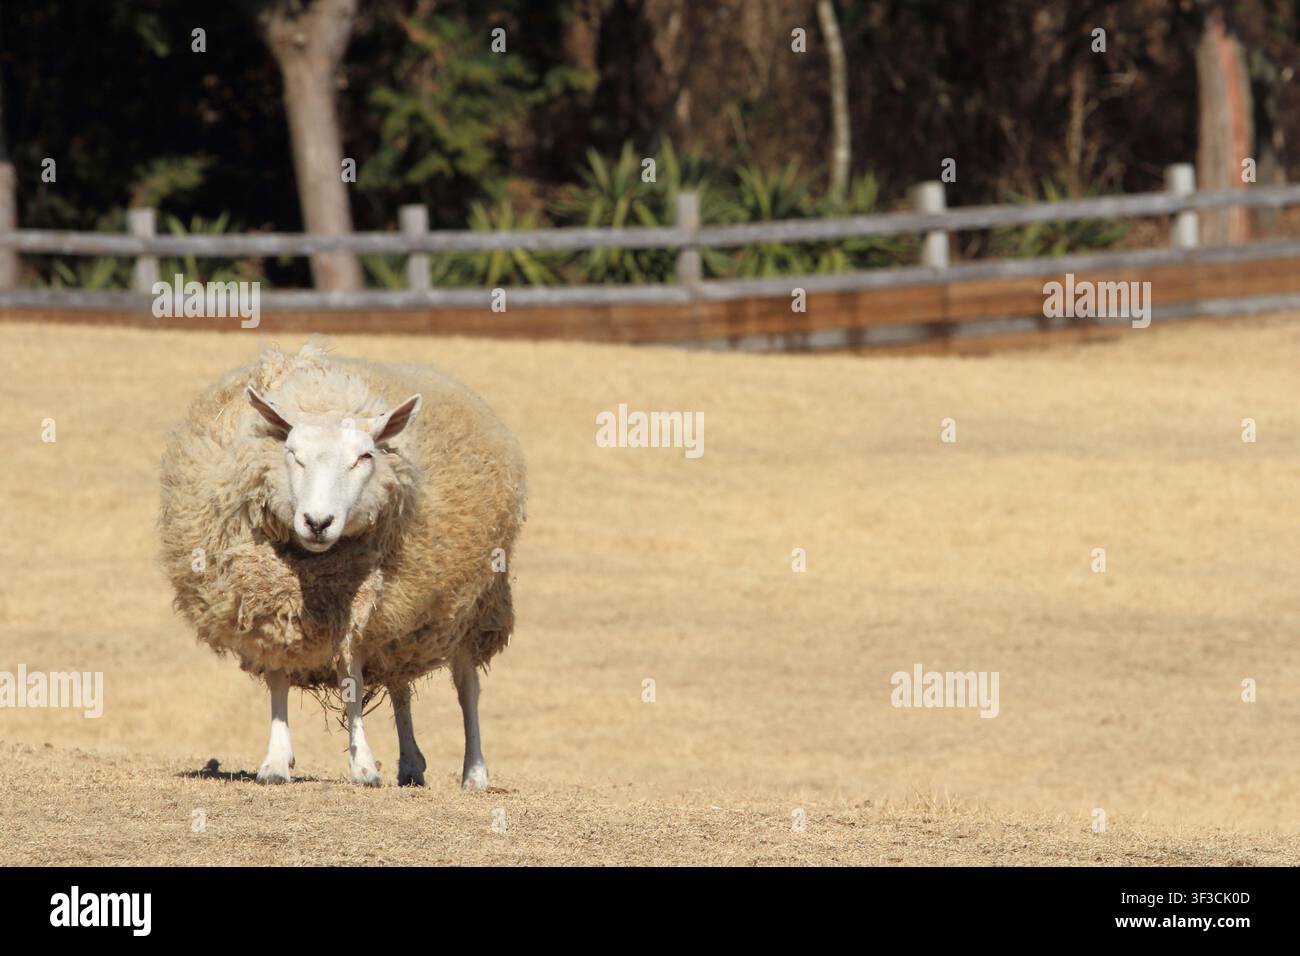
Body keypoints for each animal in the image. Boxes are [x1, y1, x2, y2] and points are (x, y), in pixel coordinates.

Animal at [158, 339, 525, 789]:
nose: (317, 522)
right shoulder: (271, 602)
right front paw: (276, 761)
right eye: (292, 454)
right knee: (400, 683)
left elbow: (352, 677)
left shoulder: (356, 605)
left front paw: (363, 765)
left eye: (364, 457)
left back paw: (474, 771)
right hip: (400, 622)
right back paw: (411, 763)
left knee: (466, 686)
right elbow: (279, 675)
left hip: (472, 608)